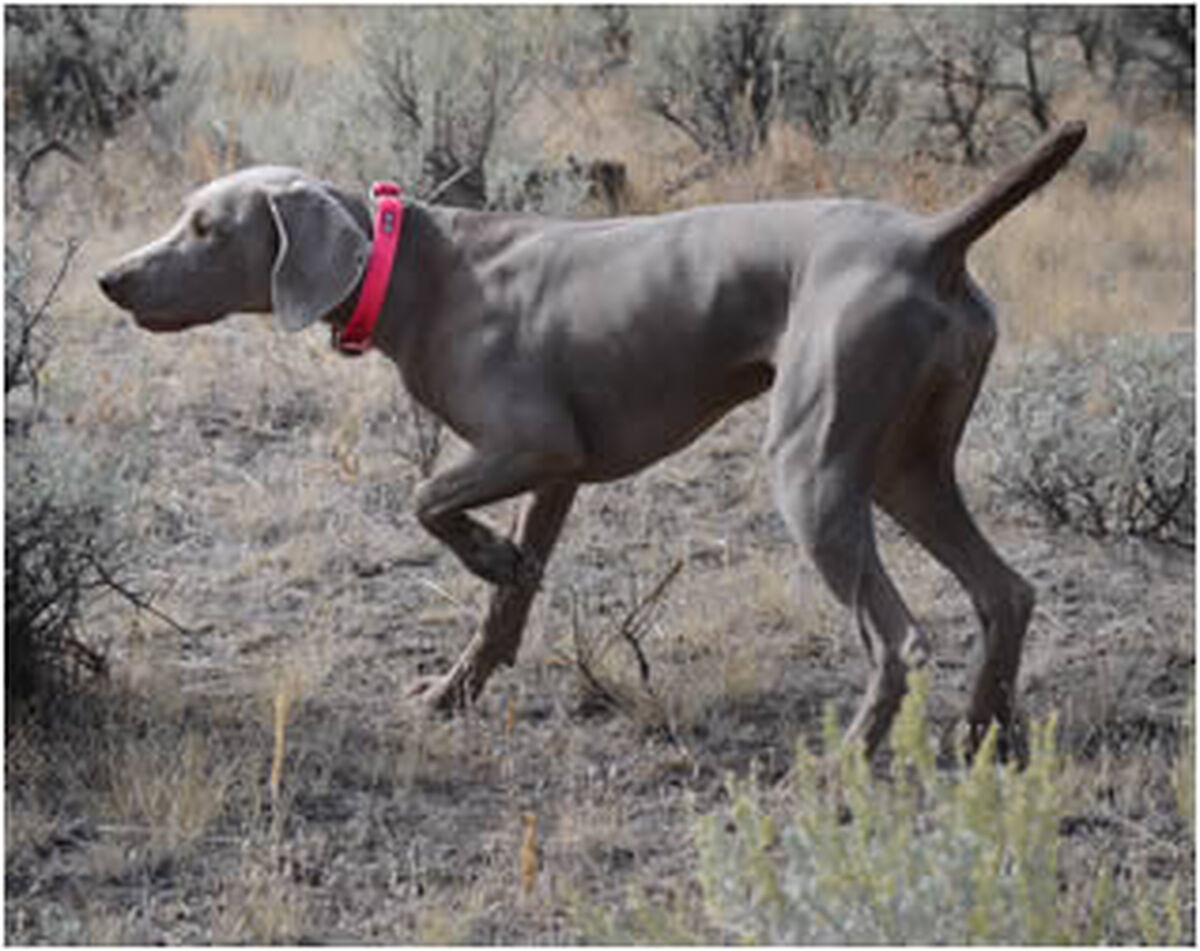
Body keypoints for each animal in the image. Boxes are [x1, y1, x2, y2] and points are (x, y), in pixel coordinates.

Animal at [100, 120, 1089, 758]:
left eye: (206, 228)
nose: (111, 277)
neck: (413, 265)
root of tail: (931, 239)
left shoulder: (530, 443)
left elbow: (424, 499)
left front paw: (488, 558)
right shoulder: (558, 469)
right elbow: (507, 605)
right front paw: (458, 684)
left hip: (813, 466)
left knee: (901, 639)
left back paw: (844, 764)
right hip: (903, 466)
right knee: (1007, 591)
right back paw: (983, 735)